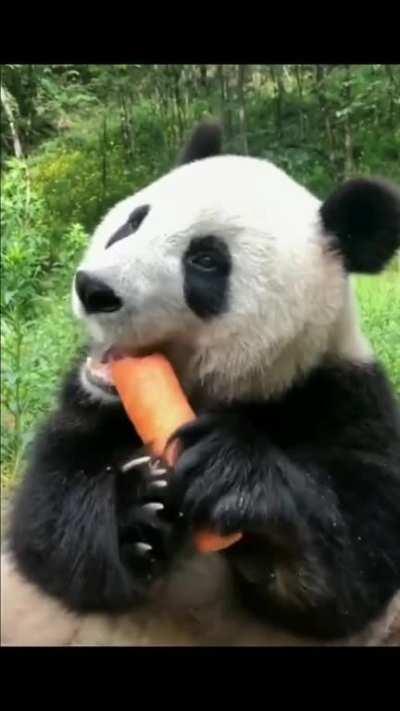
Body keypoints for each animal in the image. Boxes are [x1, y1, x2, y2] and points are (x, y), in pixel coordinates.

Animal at [2, 121, 400, 647]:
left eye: (206, 260)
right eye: (133, 222)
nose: (94, 289)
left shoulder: (341, 397)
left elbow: (357, 567)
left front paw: (232, 476)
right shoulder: (89, 403)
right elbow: (45, 516)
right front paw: (139, 516)